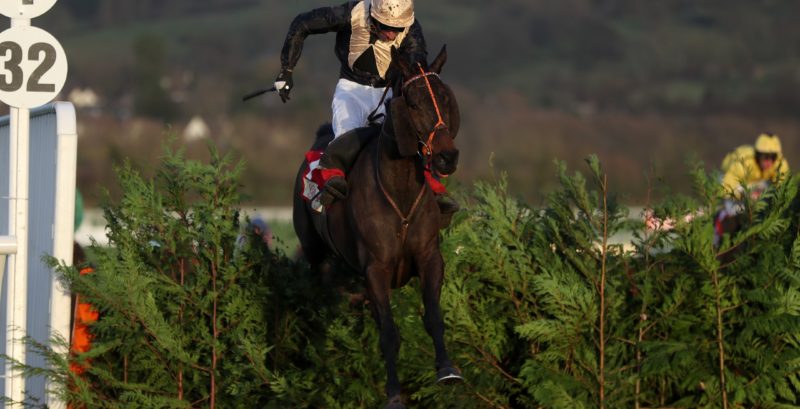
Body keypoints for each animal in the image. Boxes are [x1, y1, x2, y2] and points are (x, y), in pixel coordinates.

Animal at [290, 46, 460, 406]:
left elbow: (433, 317)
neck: (399, 194)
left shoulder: (429, 257)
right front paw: (394, 394)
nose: (447, 157)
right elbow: (389, 334)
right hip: (316, 257)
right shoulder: (376, 270)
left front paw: (447, 370)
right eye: (413, 102)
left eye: (444, 97)